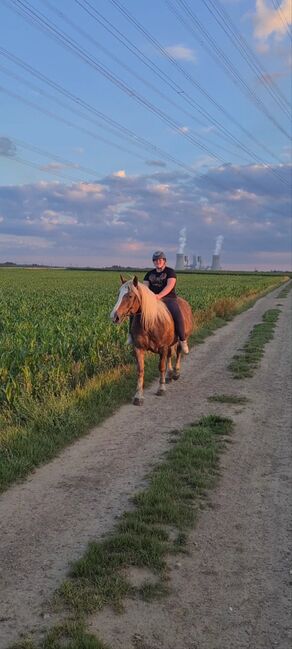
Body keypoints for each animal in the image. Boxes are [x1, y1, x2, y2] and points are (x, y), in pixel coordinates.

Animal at [110, 274, 194, 404]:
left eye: (130, 296)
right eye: (118, 294)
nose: (114, 317)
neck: (150, 322)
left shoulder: (163, 348)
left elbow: (161, 367)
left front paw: (161, 388)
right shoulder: (138, 348)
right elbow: (140, 370)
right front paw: (138, 396)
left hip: (180, 339)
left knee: (179, 352)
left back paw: (176, 373)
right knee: (170, 355)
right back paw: (169, 375)